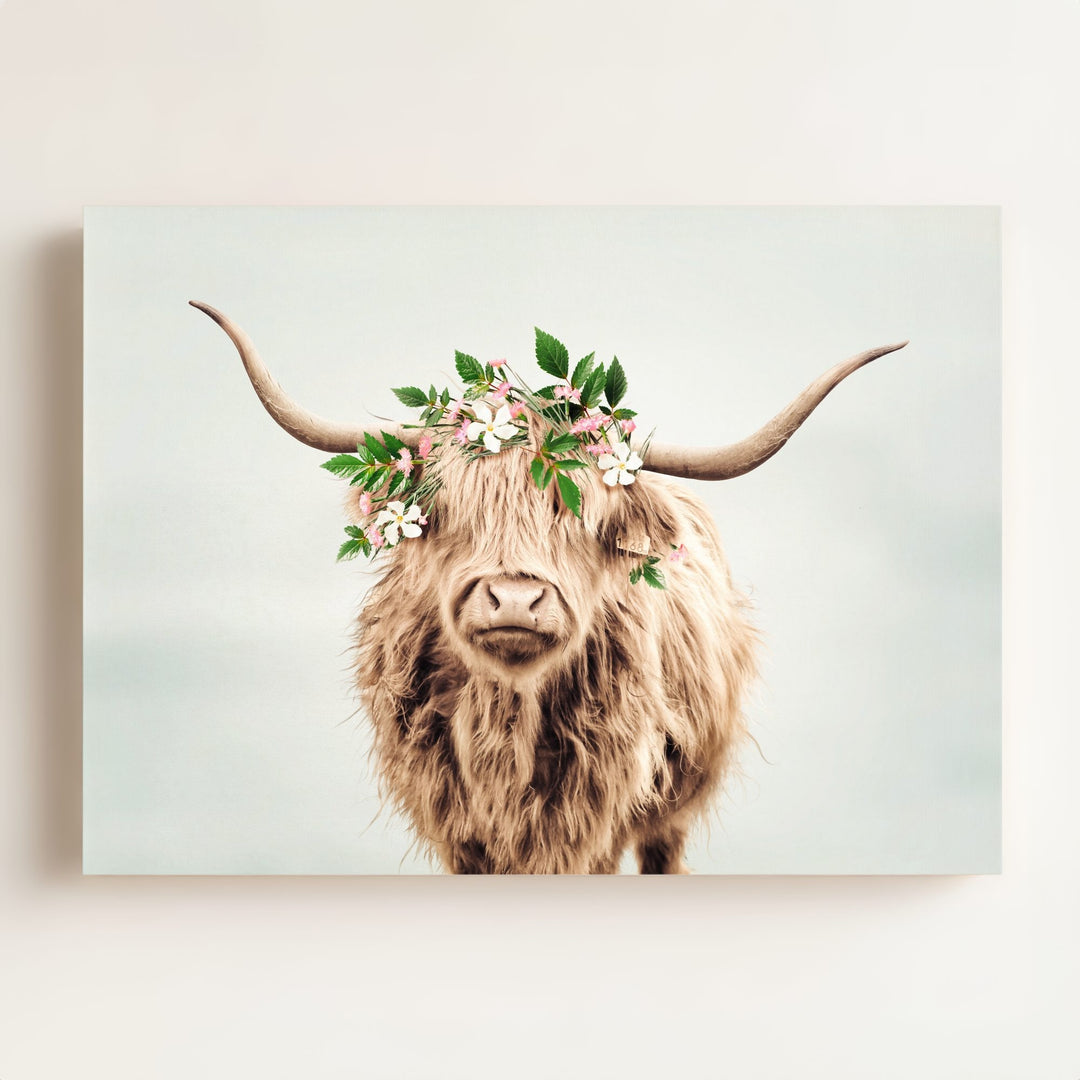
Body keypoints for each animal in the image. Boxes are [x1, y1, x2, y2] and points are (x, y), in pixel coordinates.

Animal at [191, 300, 906, 874]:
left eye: (582, 516)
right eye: (450, 510)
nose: (514, 599)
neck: (507, 724)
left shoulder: (593, 819)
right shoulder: (456, 826)